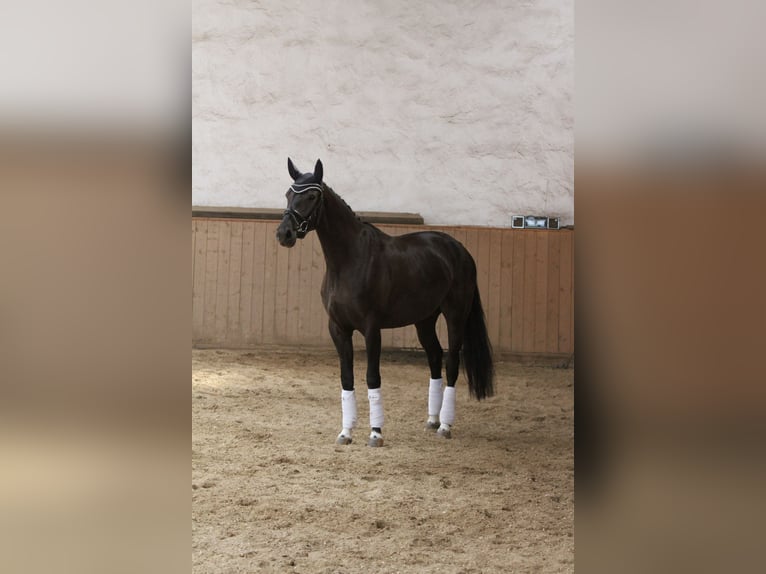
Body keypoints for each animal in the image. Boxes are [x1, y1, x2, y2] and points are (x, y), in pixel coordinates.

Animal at [280, 160, 496, 448]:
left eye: (312, 196)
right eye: (288, 194)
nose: (284, 233)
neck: (349, 261)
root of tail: (460, 250)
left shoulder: (372, 329)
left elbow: (372, 377)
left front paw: (375, 433)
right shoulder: (338, 329)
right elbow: (346, 378)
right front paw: (346, 433)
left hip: (455, 316)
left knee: (450, 362)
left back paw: (445, 426)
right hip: (425, 320)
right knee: (435, 357)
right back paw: (432, 420)